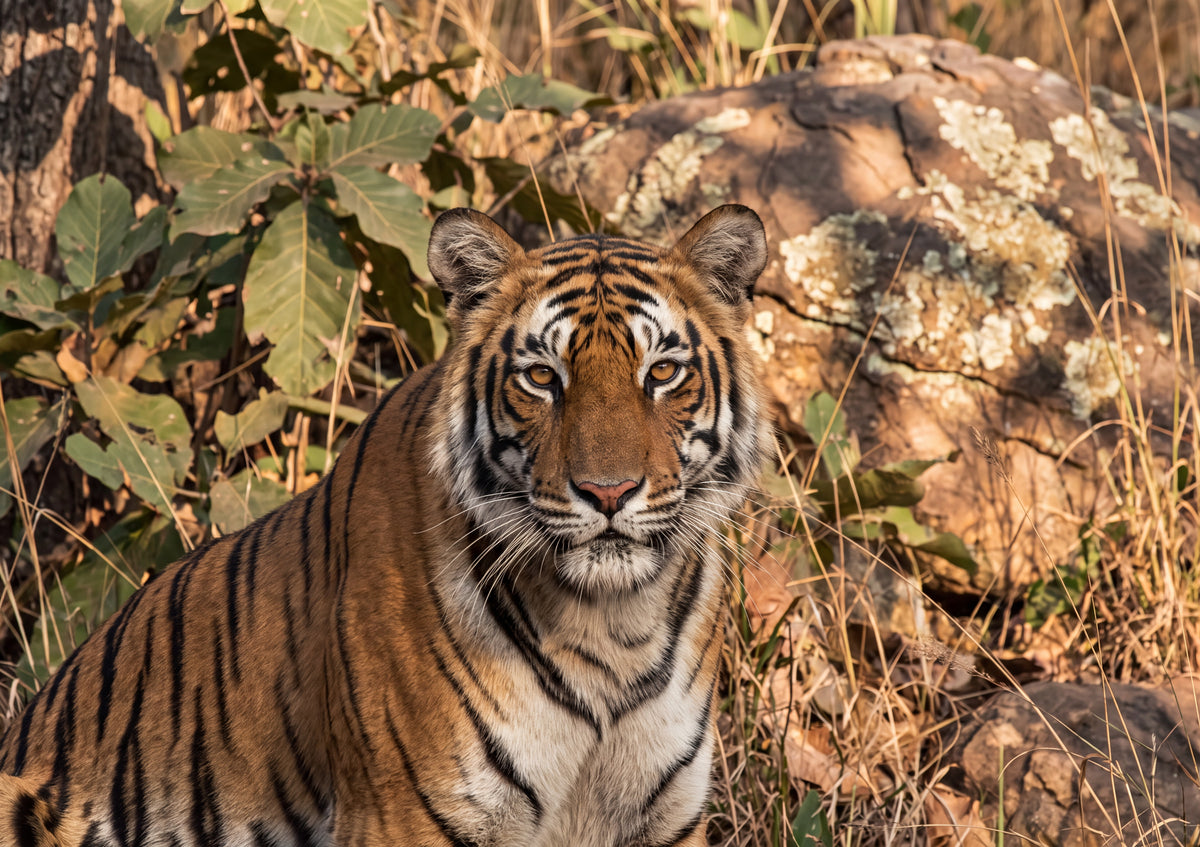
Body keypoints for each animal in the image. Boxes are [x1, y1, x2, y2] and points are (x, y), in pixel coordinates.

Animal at [0, 203, 770, 847]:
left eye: (662, 372)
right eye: (542, 377)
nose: (608, 492)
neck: (613, 625)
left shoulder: (664, 816)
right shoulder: (407, 814)